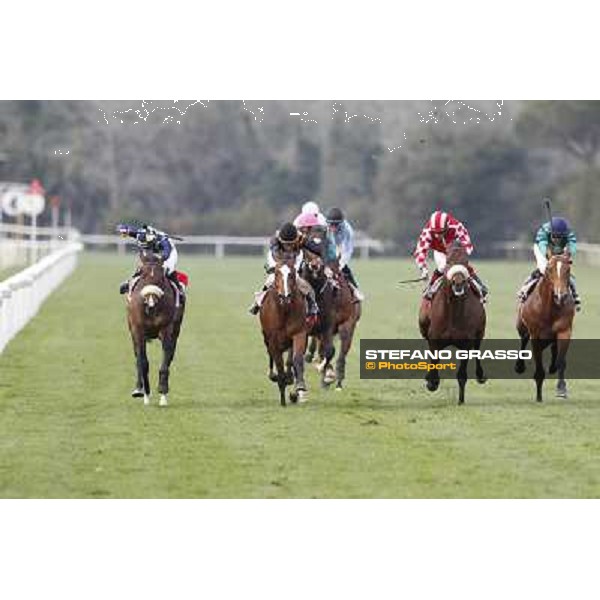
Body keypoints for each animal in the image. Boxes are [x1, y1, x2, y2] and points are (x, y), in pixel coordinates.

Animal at [125, 246, 184, 406]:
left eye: (162, 276)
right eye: (142, 274)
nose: (151, 298)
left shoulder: (166, 330)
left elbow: (165, 362)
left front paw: (163, 393)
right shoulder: (138, 330)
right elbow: (142, 361)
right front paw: (145, 393)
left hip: (176, 330)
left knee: (170, 356)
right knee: (137, 357)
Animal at [258, 255, 310, 406]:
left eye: (292, 274)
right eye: (276, 273)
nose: (285, 296)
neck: (284, 311)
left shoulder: (299, 333)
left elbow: (295, 359)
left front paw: (297, 386)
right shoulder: (273, 339)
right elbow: (279, 364)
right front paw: (282, 398)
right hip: (266, 338)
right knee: (271, 356)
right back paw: (274, 375)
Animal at [300, 251, 360, 392]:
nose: (315, 266)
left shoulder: (337, 324)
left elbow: (331, 351)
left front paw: (328, 377)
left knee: (339, 352)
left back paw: (336, 379)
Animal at [420, 244, 486, 404]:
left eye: (466, 262)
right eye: (448, 261)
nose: (458, 282)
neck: (453, 313)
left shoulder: (466, 343)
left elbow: (462, 374)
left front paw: (461, 400)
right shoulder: (434, 340)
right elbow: (434, 362)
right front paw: (431, 381)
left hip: (480, 333)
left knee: (478, 349)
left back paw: (481, 375)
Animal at [512, 251, 576, 400]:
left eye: (568, 269)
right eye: (549, 269)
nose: (561, 296)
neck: (549, 308)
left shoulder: (565, 330)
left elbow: (561, 360)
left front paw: (561, 388)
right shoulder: (535, 334)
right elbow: (539, 364)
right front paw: (539, 396)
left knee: (553, 347)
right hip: (521, 326)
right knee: (524, 339)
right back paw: (519, 366)